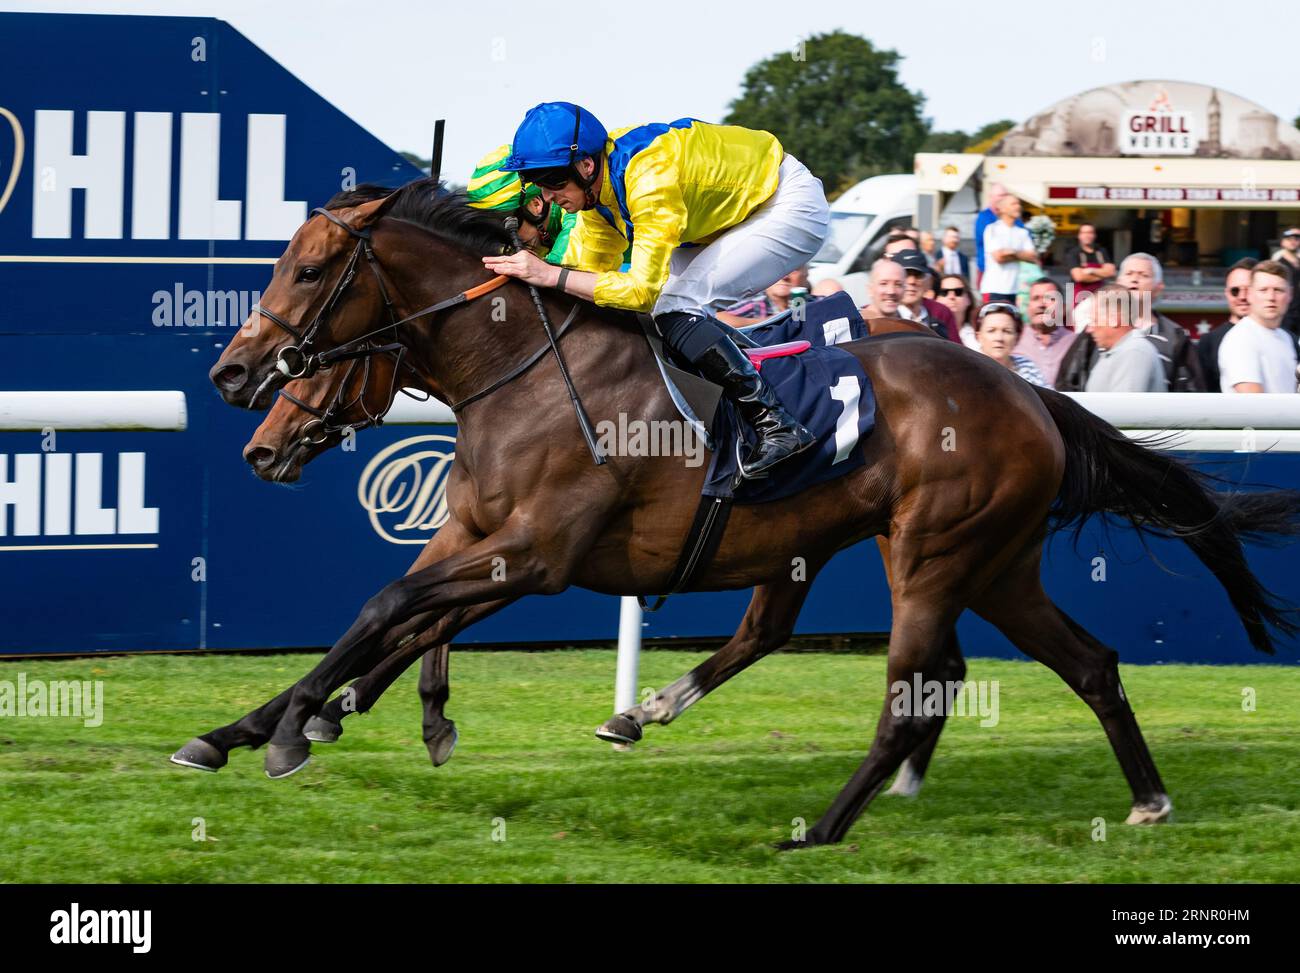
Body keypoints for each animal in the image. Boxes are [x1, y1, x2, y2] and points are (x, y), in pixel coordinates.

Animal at [183, 178, 1300, 848]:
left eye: (311, 269)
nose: (237, 383)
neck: (523, 369)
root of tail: (1028, 394)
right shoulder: (478, 538)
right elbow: (402, 614)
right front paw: (264, 722)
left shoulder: (537, 553)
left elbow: (386, 606)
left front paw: (292, 725)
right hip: (982, 562)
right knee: (1081, 663)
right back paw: (1146, 795)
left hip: (937, 552)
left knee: (909, 689)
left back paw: (820, 824)